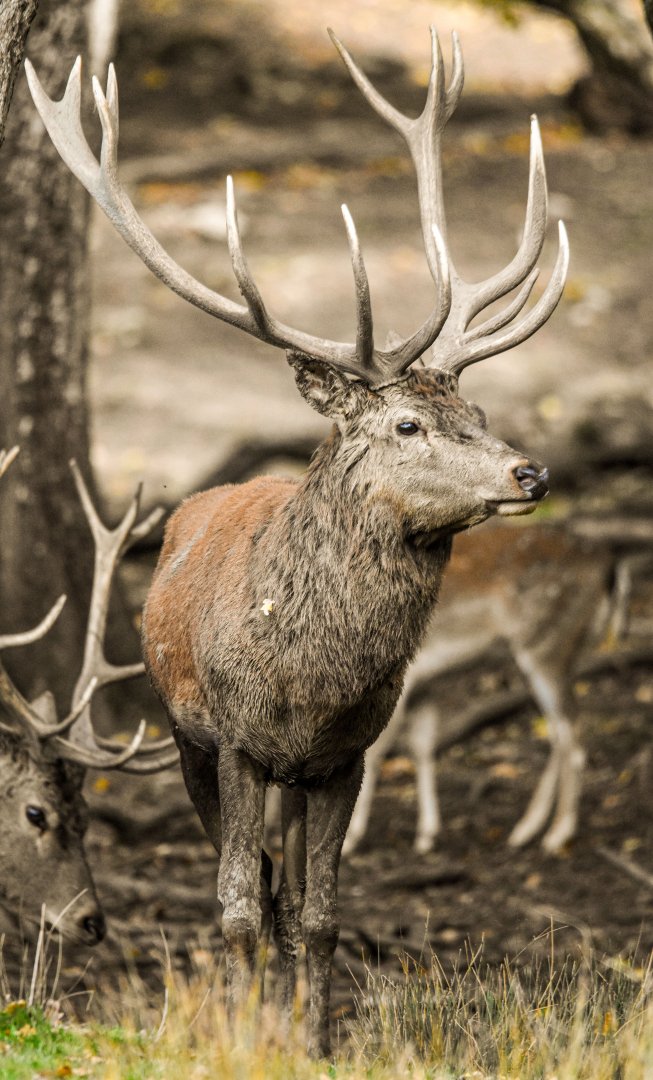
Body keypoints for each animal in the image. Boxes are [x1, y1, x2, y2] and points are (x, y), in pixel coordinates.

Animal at [26, 26, 568, 1057]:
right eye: (405, 424)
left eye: (477, 412)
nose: (531, 473)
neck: (308, 683)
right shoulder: (235, 740)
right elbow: (239, 905)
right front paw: (249, 1037)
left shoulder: (345, 754)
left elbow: (316, 915)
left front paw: (314, 1042)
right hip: (190, 741)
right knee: (249, 889)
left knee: (288, 897)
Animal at [344, 520, 615, 858]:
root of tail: (608, 566)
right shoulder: (425, 681)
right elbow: (422, 746)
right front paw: (428, 834)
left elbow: (376, 748)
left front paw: (351, 840)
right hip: (562, 653)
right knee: (559, 730)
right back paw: (526, 830)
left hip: (546, 645)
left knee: (572, 735)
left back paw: (558, 834)